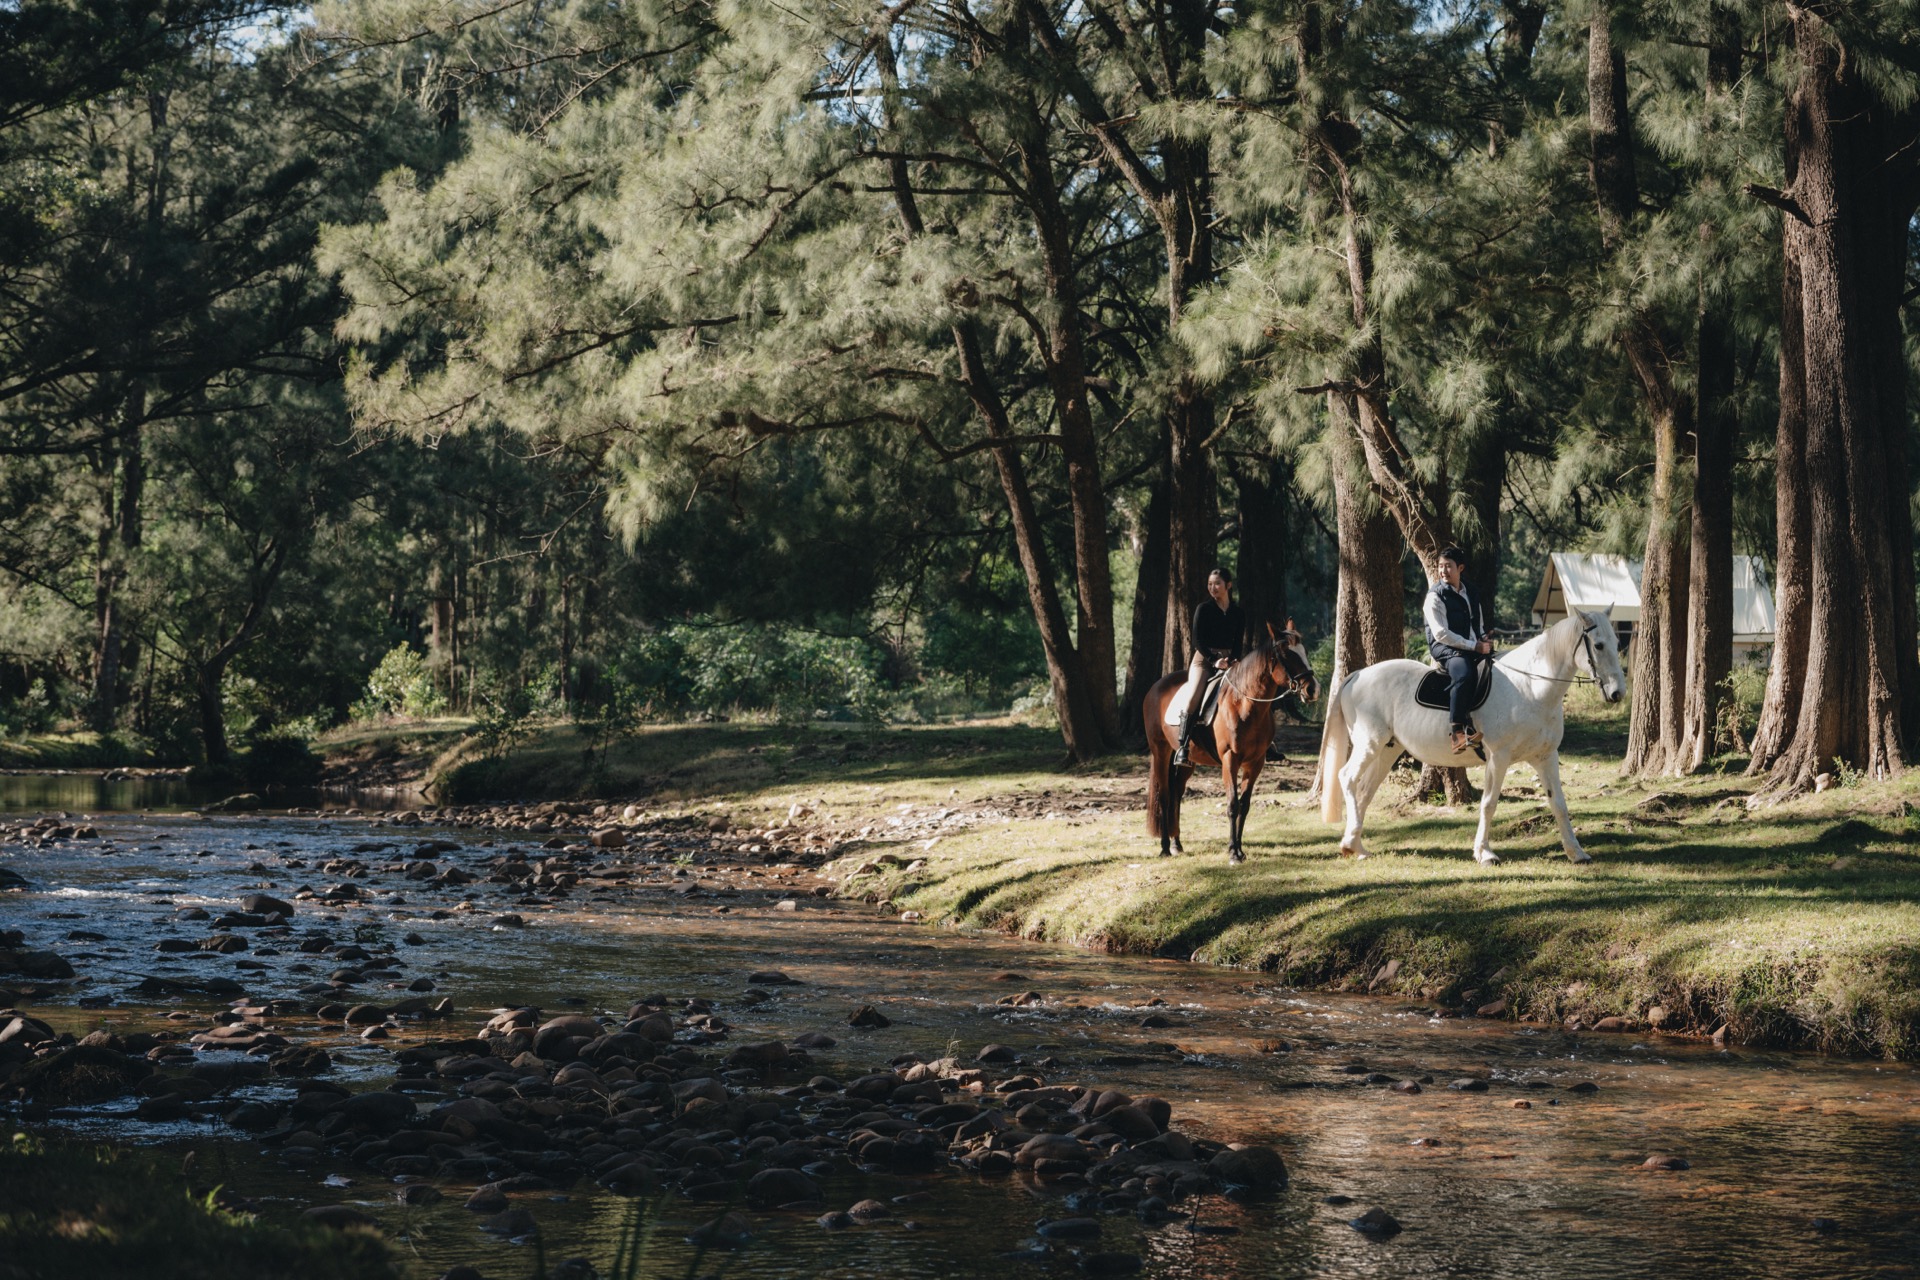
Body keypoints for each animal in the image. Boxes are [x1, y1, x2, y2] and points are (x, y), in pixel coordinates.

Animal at [1144, 621, 1320, 864]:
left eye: (1304, 652)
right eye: (1286, 654)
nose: (1313, 689)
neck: (1244, 704)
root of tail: (1156, 687)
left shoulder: (1255, 763)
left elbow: (1244, 805)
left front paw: (1240, 849)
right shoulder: (1230, 760)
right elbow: (1232, 805)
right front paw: (1233, 852)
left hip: (1188, 762)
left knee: (1176, 794)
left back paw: (1176, 844)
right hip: (1161, 751)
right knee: (1164, 795)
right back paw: (1164, 848)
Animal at [1317, 608, 1627, 865]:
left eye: (1616, 643)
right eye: (1598, 645)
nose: (1617, 693)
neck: (1529, 686)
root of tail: (1357, 675)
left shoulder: (1545, 756)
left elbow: (1559, 804)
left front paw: (1576, 853)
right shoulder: (1498, 758)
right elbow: (1489, 804)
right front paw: (1485, 853)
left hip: (1387, 750)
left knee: (1364, 791)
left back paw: (1354, 846)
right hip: (1370, 744)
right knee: (1348, 778)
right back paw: (1351, 844)